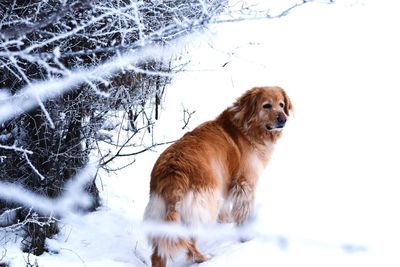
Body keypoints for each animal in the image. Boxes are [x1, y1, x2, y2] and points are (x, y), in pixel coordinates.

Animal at [143, 87, 290, 266]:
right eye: (266, 105)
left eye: (281, 104)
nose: (283, 118)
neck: (246, 127)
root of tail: (173, 171)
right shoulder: (245, 184)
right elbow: (244, 214)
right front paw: (246, 237)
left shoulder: (226, 183)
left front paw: (227, 221)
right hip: (205, 206)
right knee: (189, 242)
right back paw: (202, 258)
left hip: (161, 212)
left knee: (159, 253)